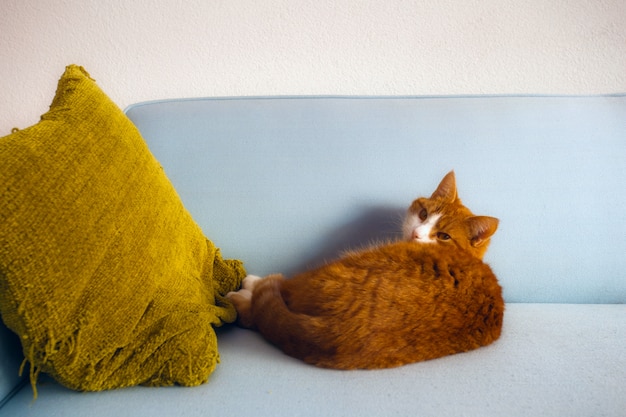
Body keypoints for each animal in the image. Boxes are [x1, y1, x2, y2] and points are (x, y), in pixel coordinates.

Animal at [227, 171, 500, 368]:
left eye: (443, 236)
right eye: (423, 214)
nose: (416, 233)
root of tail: (343, 334)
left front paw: (251, 285)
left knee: (272, 299)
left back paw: (245, 294)